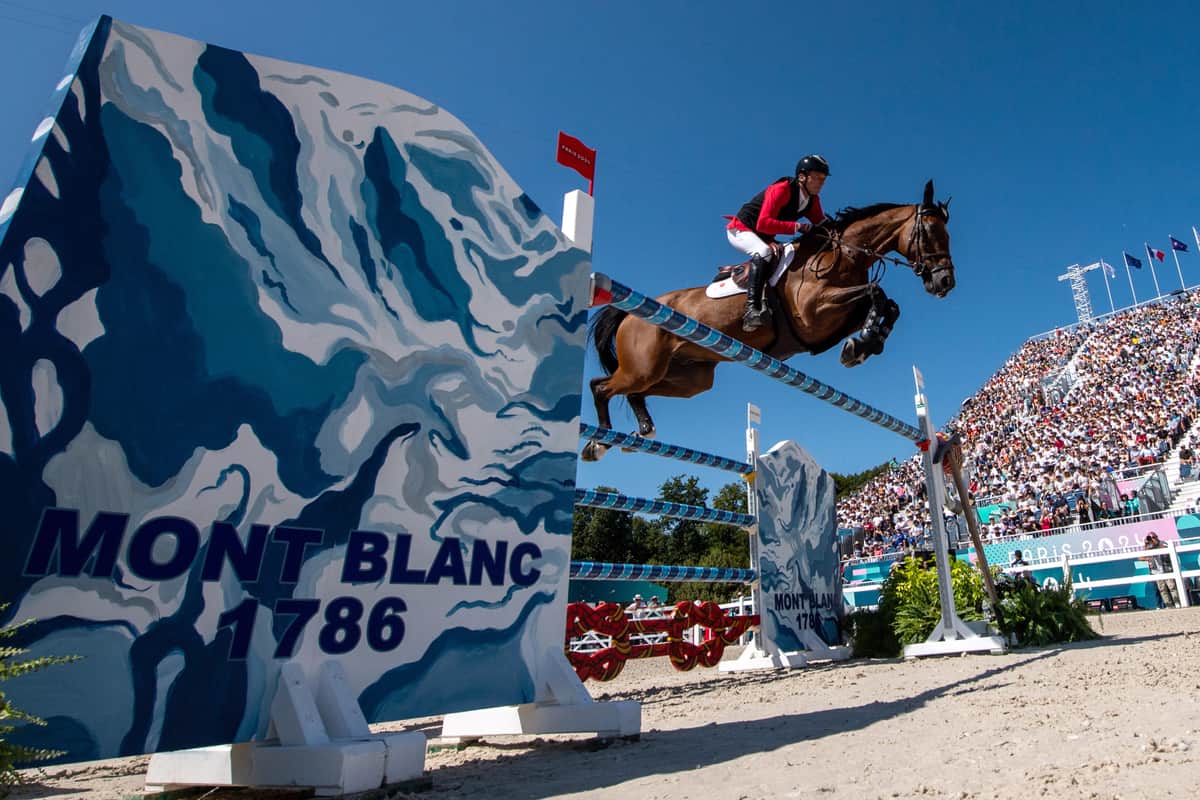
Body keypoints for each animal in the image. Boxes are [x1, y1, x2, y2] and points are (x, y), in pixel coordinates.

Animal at [580, 177, 955, 460]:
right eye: (930, 233)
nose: (945, 283)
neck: (842, 254)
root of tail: (629, 315)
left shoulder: (827, 326)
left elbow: (886, 304)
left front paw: (862, 345)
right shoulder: (813, 313)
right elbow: (876, 292)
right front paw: (862, 344)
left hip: (687, 378)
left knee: (634, 391)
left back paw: (642, 431)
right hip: (644, 366)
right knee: (601, 386)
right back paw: (598, 441)